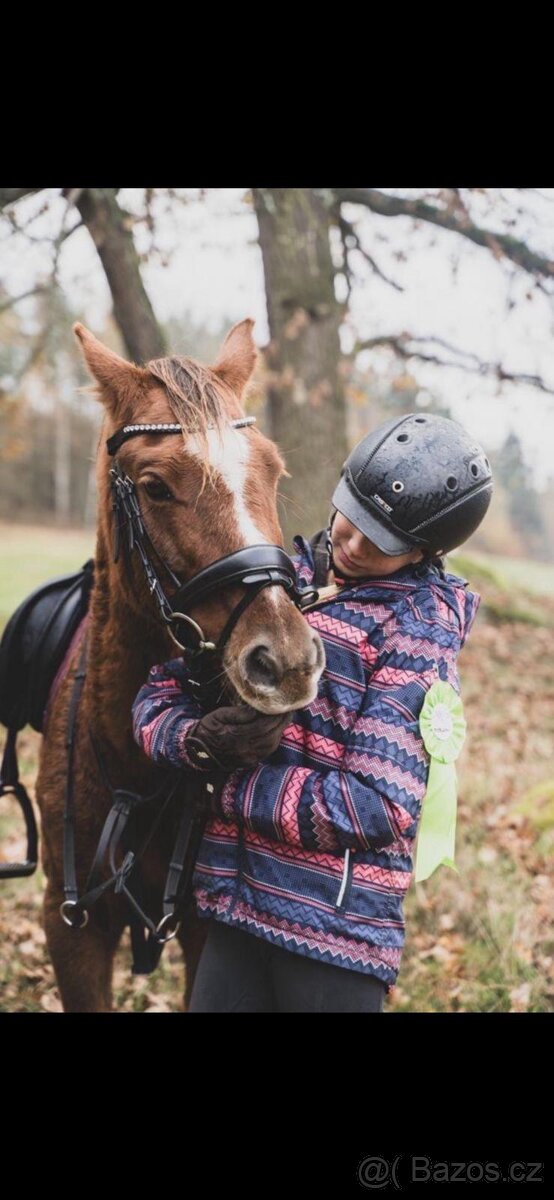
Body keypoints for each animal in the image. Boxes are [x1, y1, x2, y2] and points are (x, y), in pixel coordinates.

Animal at [35, 318, 325, 1013]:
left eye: (274, 473)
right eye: (155, 487)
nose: (286, 660)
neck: (131, 761)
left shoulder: (203, 931)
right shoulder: (71, 931)